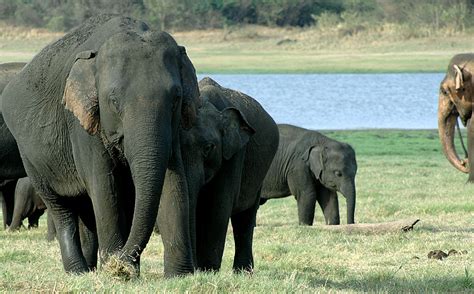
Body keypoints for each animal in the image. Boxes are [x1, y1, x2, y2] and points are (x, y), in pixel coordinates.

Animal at [0, 14, 200, 278]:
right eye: (113, 101)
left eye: (176, 98)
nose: (121, 263)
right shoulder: (80, 125)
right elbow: (105, 186)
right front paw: (115, 272)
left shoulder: (173, 129)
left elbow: (173, 182)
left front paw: (178, 276)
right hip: (30, 157)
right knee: (62, 209)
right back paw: (77, 271)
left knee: (86, 207)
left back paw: (91, 269)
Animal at [157, 77, 280, 272]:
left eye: (208, 147)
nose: (194, 269)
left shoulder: (234, 154)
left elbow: (218, 207)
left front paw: (208, 270)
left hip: (260, 175)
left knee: (245, 219)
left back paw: (243, 272)